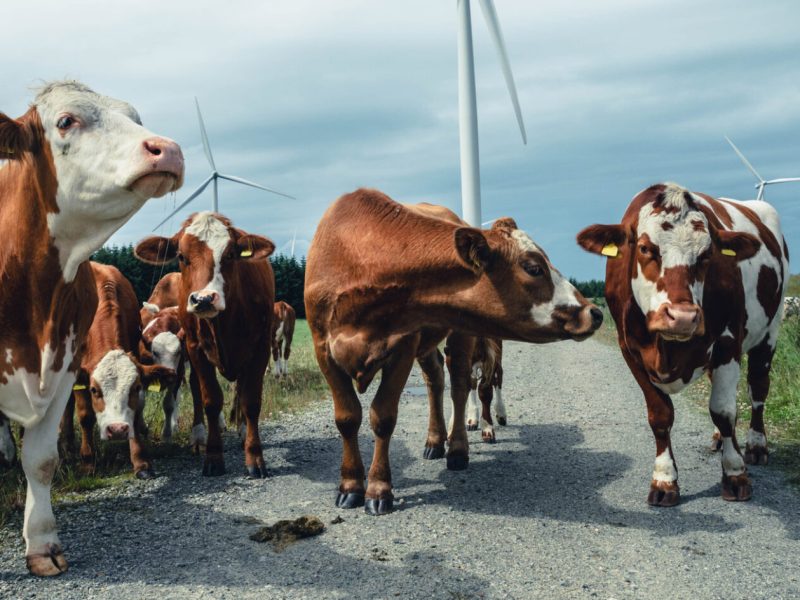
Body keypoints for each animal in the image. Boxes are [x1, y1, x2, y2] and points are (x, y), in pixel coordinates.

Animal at [61, 262, 177, 478]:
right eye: (94, 390)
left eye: (135, 388)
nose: (116, 429)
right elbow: (85, 415)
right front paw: (87, 462)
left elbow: (135, 411)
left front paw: (140, 461)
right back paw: (67, 444)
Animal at [134, 211, 276, 478]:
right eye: (181, 256)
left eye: (230, 254)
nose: (204, 299)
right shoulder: (195, 348)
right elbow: (210, 399)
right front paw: (213, 456)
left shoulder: (260, 348)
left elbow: (251, 401)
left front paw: (254, 456)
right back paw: (199, 435)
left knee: (240, 390)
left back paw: (242, 430)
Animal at [304, 191, 604, 516]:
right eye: (533, 267)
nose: (594, 312)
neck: (360, 258)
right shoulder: (323, 349)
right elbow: (347, 418)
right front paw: (349, 485)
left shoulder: (403, 346)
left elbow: (383, 416)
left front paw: (378, 488)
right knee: (435, 379)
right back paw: (436, 441)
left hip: (461, 333)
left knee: (459, 387)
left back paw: (457, 449)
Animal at [576, 182, 788, 506]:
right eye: (645, 248)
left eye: (707, 253)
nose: (683, 317)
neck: (667, 350)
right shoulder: (630, 351)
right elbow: (660, 415)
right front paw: (665, 480)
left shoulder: (728, 342)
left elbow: (724, 411)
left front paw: (735, 474)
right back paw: (718, 439)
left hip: (770, 330)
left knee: (758, 387)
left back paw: (755, 445)